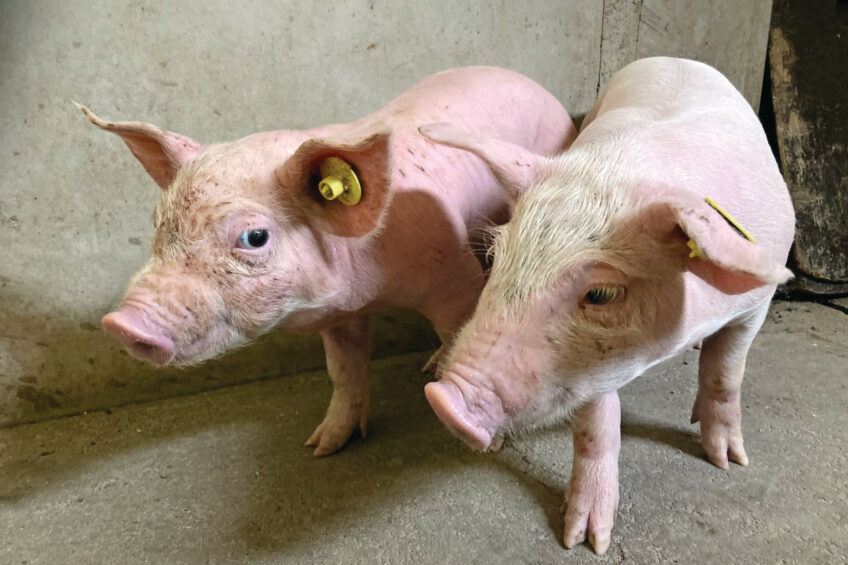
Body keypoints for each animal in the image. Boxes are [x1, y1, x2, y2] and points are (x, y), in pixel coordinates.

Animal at [81, 66, 576, 456]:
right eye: (158, 221)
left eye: (254, 237)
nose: (121, 323)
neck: (371, 290)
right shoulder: (339, 315)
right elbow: (343, 371)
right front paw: (321, 448)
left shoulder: (451, 277)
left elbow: (460, 326)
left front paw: (488, 442)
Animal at [420, 57, 795, 554]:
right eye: (497, 257)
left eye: (602, 294)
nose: (444, 399)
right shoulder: (591, 372)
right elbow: (596, 424)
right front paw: (586, 540)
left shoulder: (757, 304)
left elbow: (725, 373)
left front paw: (728, 462)